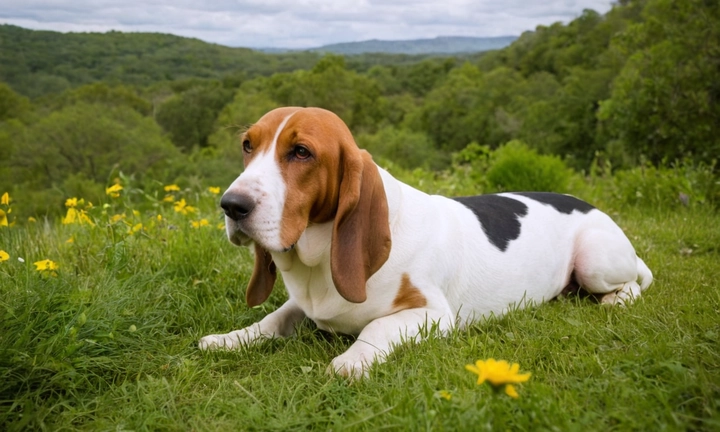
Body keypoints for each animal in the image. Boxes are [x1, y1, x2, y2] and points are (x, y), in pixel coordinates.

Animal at [198, 106, 652, 376]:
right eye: (247, 145)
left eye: (302, 152)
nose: (231, 205)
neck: (319, 260)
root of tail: (590, 205)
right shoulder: (302, 305)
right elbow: (271, 320)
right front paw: (230, 339)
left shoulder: (432, 314)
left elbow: (376, 327)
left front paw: (351, 360)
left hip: (595, 261)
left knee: (631, 285)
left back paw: (615, 300)